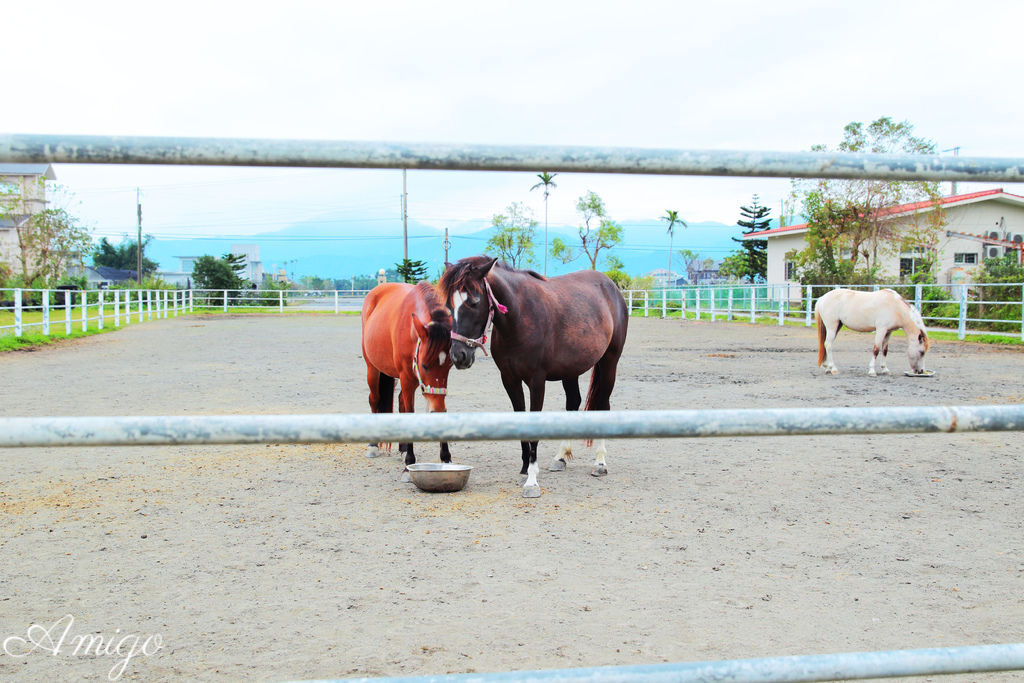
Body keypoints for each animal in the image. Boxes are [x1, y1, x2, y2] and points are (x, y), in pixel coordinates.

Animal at [362, 278, 454, 475]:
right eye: (425, 365)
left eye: (450, 365)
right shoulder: (407, 378)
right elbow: (410, 412)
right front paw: (409, 464)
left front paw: (446, 458)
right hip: (372, 368)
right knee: (374, 399)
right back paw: (373, 445)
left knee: (400, 404)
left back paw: (403, 448)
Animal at [438, 255, 626, 497]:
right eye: (449, 305)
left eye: (474, 302)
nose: (458, 355)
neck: (521, 317)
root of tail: (610, 286)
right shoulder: (509, 380)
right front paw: (525, 469)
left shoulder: (537, 382)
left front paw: (532, 480)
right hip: (571, 370)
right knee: (573, 403)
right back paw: (560, 457)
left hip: (609, 362)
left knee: (603, 404)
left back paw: (600, 463)